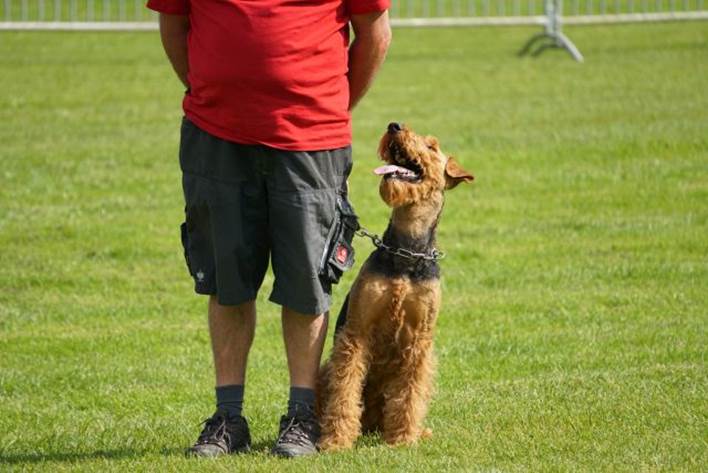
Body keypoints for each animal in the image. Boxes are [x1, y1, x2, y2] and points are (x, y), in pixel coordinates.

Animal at [316, 121, 472, 450]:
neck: (407, 253)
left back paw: (419, 432)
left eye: (432, 146)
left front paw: (402, 438)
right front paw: (337, 440)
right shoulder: (357, 331)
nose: (394, 126)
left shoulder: (419, 340)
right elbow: (345, 391)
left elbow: (410, 393)